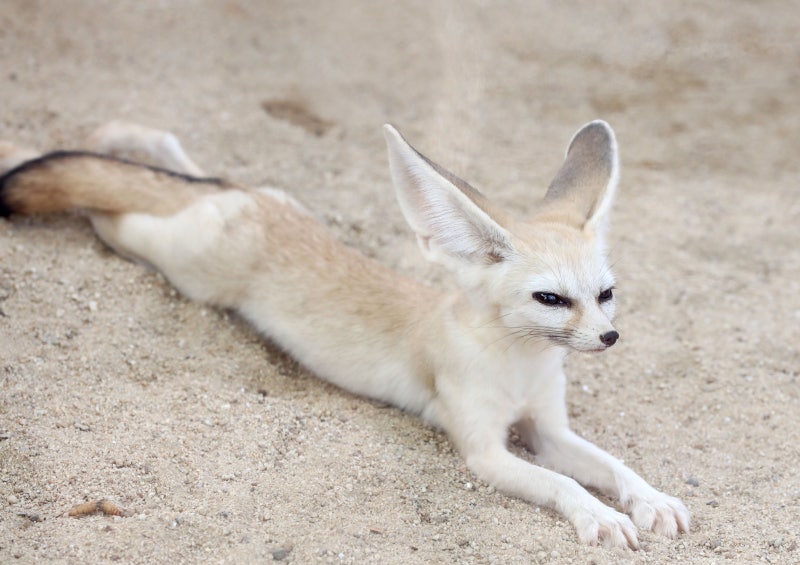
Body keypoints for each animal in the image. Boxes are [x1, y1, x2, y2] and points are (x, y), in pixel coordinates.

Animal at [0, 119, 688, 548]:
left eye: (605, 294)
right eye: (551, 299)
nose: (609, 338)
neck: (521, 365)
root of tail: (252, 202)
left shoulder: (547, 430)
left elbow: (611, 464)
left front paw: (649, 499)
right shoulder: (485, 452)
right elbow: (564, 482)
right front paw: (598, 515)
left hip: (241, 203)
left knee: (184, 169)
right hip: (179, 265)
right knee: (109, 210)